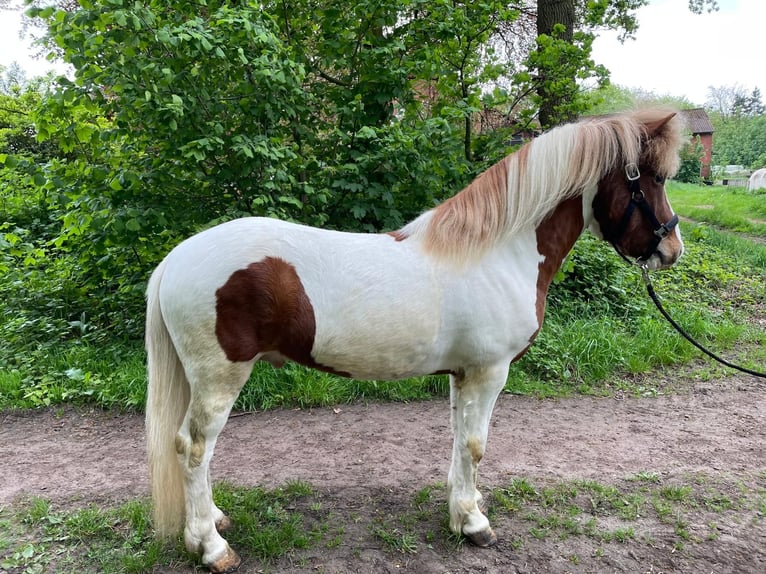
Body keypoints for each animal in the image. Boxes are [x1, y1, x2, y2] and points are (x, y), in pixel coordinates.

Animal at [147, 109, 688, 574]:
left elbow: (457, 438)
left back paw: (213, 520)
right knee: (193, 448)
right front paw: (474, 524)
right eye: (655, 179)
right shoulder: (490, 372)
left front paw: (462, 505)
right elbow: (474, 444)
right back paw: (211, 546)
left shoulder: (463, 374)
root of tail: (176, 258)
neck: (498, 252)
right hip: (220, 377)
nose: (671, 249)